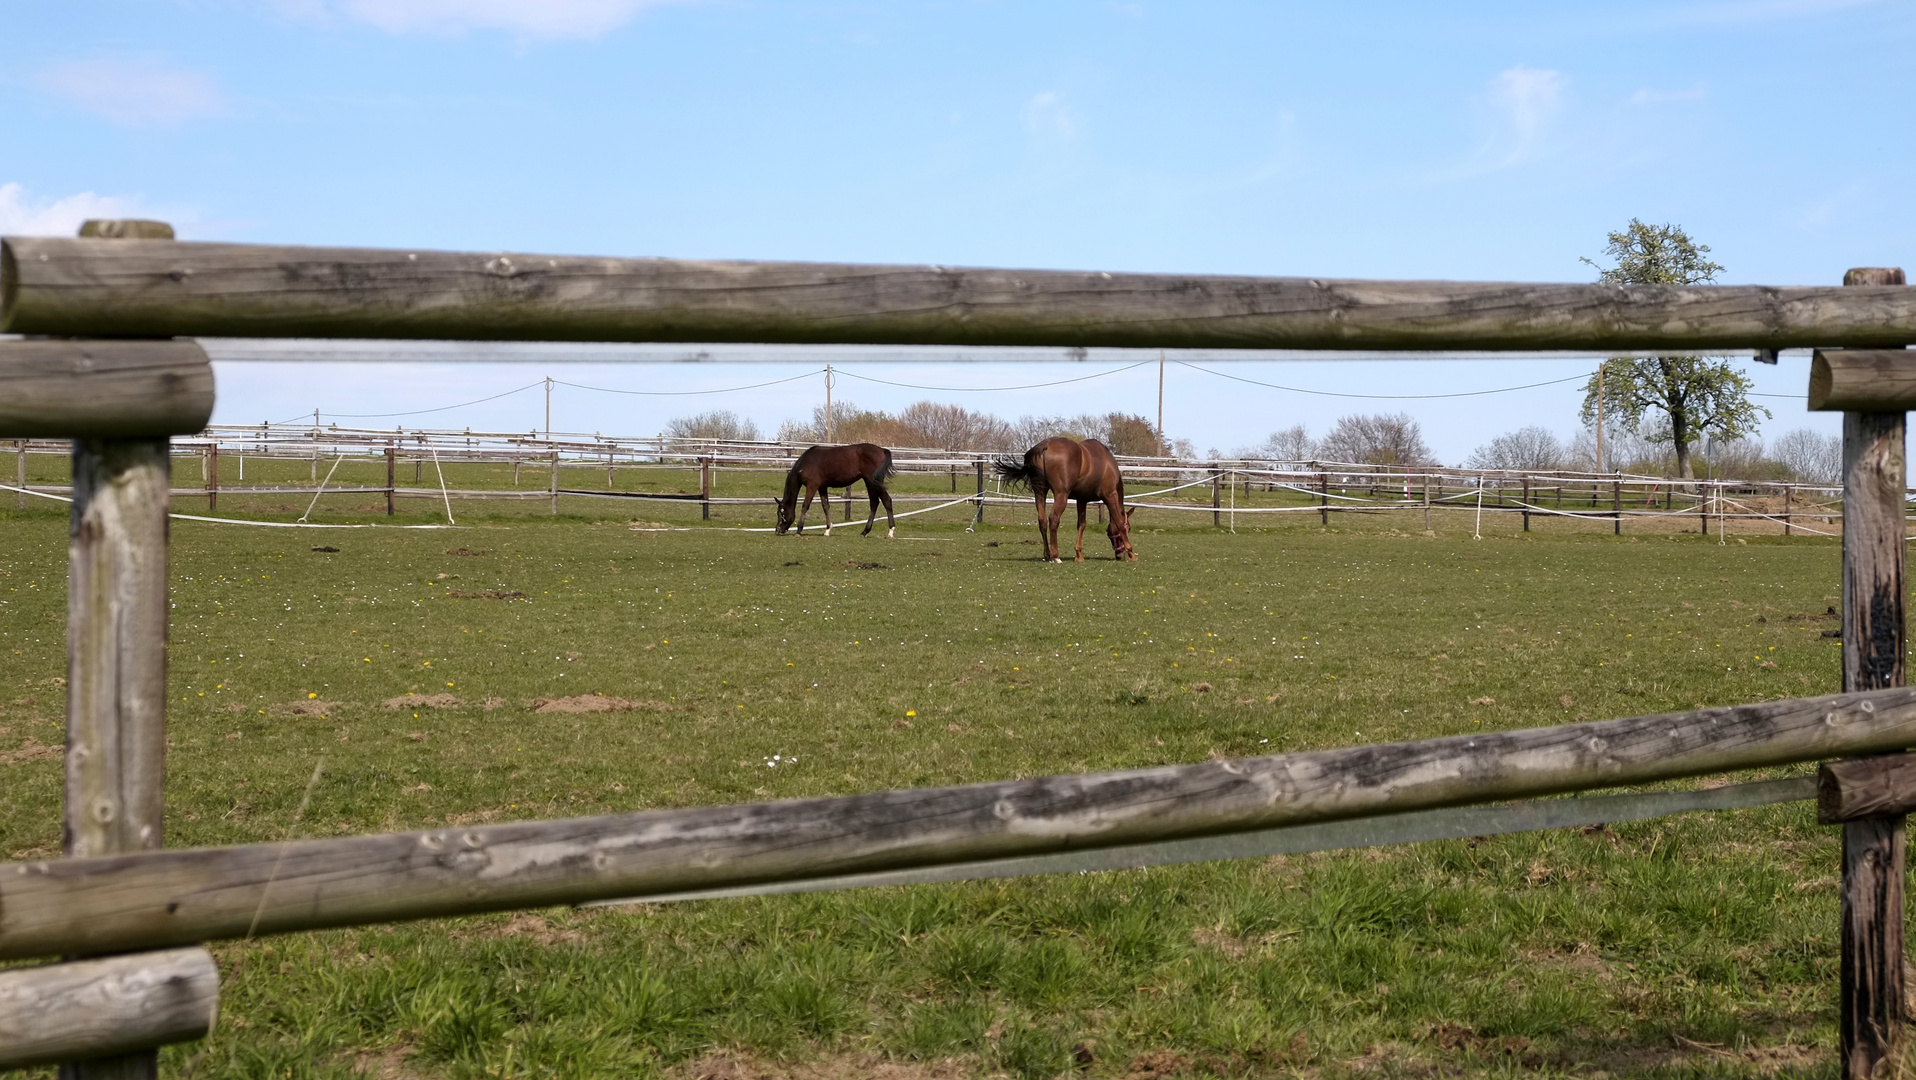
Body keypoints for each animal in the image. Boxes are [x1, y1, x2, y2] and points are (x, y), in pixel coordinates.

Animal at [996, 434, 1126, 562]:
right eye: (1128, 528)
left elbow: (1082, 524)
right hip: (1061, 495)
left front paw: (1079, 555)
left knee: (1042, 520)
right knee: (1053, 519)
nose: (1120, 555)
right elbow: (1118, 521)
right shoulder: (1110, 495)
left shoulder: (1081, 500)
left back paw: (1047, 555)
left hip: (1040, 493)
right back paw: (1056, 556)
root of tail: (1044, 446)